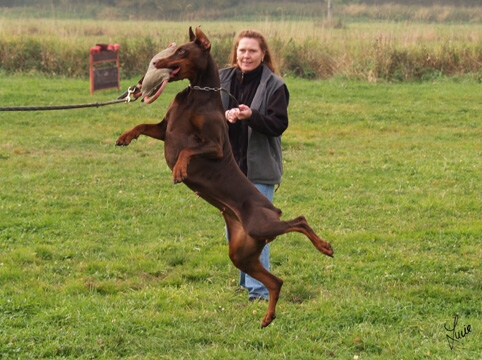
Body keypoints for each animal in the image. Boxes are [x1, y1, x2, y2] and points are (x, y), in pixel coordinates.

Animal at [115, 26, 334, 328]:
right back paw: (268, 317)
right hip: (242, 251)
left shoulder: (215, 144)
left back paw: (324, 247)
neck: (197, 95)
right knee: (276, 281)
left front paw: (179, 170)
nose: (155, 63)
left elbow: (188, 150)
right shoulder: (164, 129)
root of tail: (271, 208)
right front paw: (125, 136)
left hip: (261, 225)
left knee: (299, 221)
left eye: (182, 50)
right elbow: (143, 125)